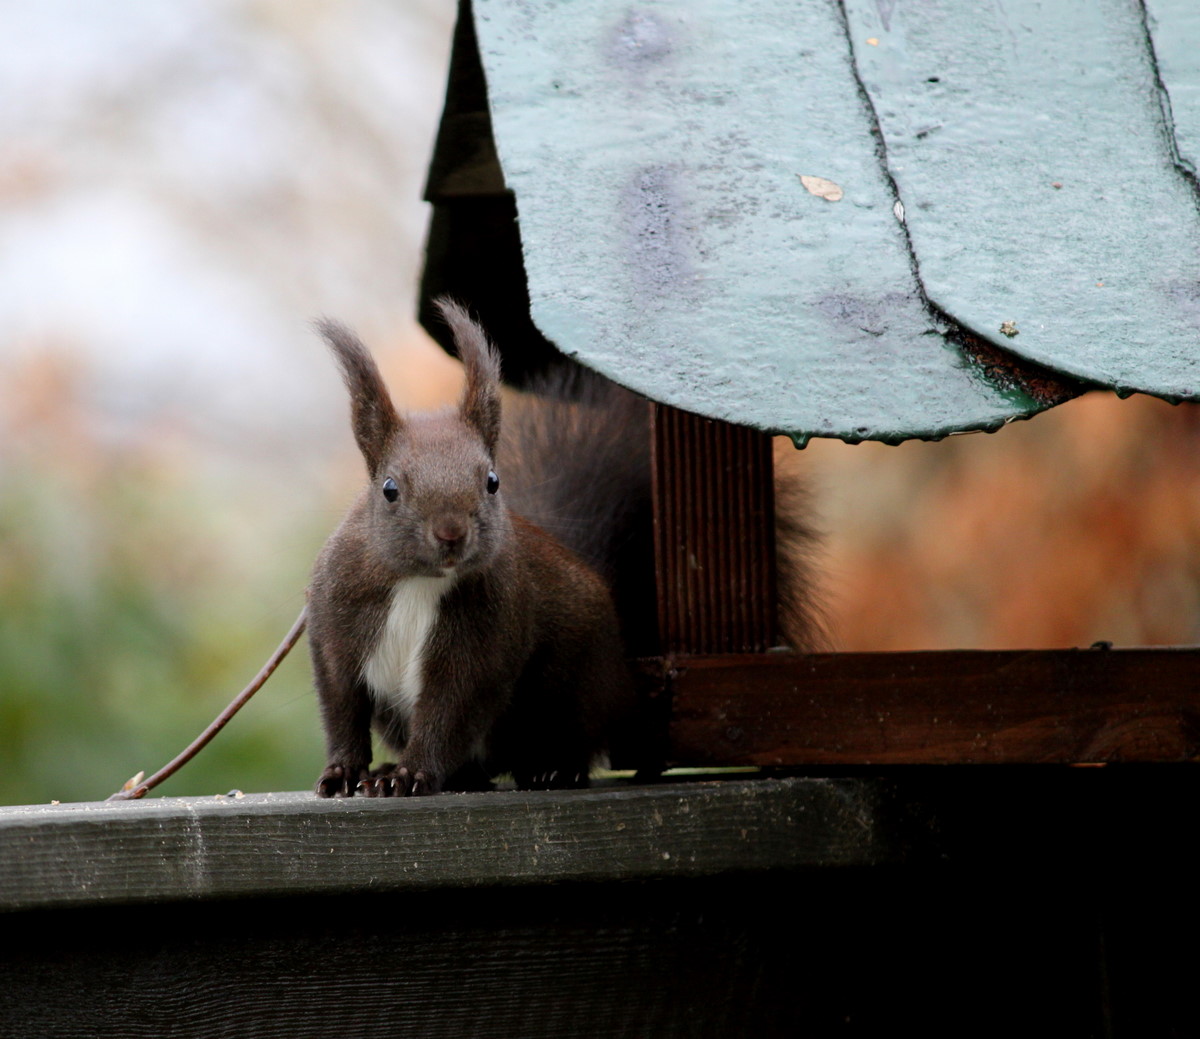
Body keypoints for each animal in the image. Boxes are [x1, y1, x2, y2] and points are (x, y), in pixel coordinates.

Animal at [307, 299, 638, 791]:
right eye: (389, 489)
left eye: (492, 481)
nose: (451, 533)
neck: (418, 582)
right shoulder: (334, 625)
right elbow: (342, 705)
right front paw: (344, 772)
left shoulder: (483, 638)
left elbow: (448, 711)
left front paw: (410, 774)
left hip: (583, 687)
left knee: (572, 740)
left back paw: (553, 768)